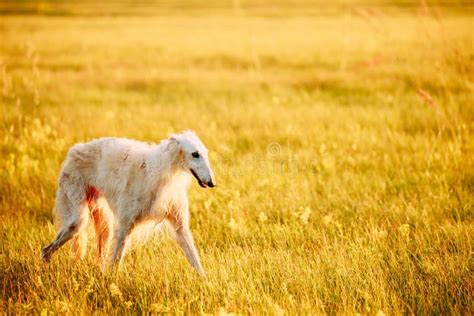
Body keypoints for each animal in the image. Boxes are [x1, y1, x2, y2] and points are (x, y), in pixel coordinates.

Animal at [40, 130, 215, 276]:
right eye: (195, 154)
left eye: (205, 153)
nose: (212, 183)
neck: (161, 172)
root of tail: (74, 150)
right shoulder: (125, 225)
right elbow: (115, 264)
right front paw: (111, 285)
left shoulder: (179, 224)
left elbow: (195, 261)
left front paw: (205, 283)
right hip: (76, 219)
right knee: (46, 250)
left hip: (103, 224)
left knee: (98, 256)